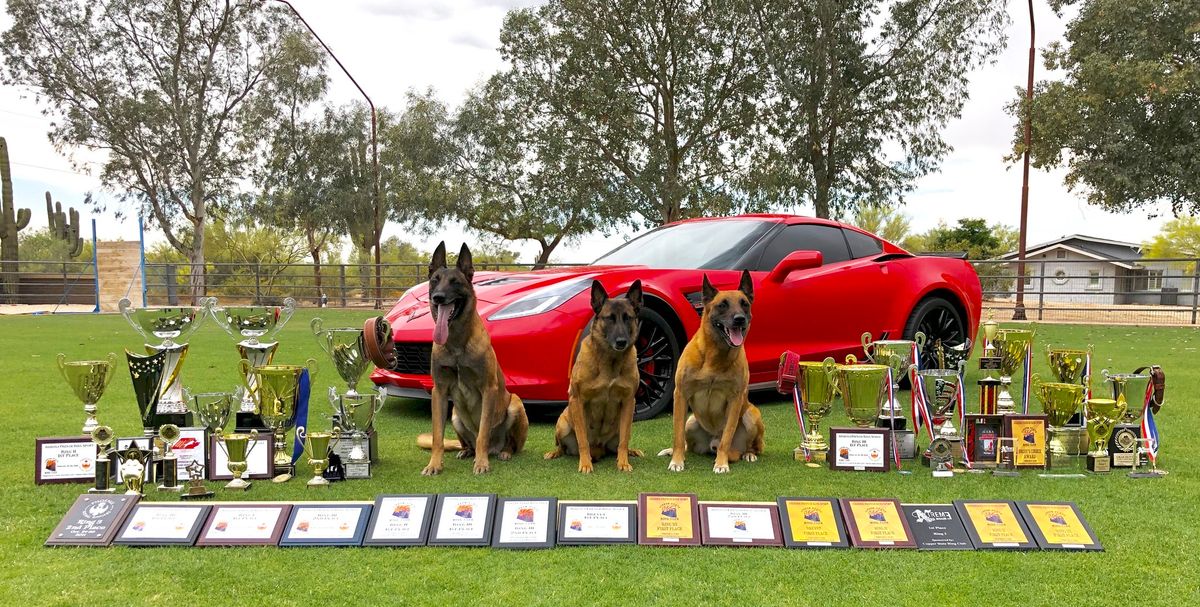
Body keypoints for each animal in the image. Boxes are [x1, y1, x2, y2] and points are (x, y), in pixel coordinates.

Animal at [422, 241, 525, 475]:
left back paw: (503, 452)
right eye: (435, 280)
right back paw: (466, 452)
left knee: (508, 443)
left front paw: (481, 463)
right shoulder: (439, 391)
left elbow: (483, 433)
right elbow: (437, 436)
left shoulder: (488, 389)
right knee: (466, 443)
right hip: (455, 417)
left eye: (456, 282)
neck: (457, 344)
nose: (438, 297)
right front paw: (434, 464)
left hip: (515, 404)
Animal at [547, 279, 643, 475]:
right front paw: (585, 464)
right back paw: (555, 453)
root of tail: (599, 447)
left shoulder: (629, 401)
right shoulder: (577, 400)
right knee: (562, 446)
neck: (610, 361)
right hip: (563, 425)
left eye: (628, 318)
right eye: (610, 318)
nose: (621, 342)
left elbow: (624, 440)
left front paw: (623, 462)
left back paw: (631, 451)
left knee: (621, 439)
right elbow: (583, 439)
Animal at [662, 269, 763, 475]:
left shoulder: (735, 399)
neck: (715, 356)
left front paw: (721, 463)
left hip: (751, 415)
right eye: (722, 305)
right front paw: (677, 461)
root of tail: (711, 442)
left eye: (744, 304)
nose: (739, 319)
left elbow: (727, 437)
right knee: (687, 444)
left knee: (752, 445)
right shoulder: (680, 395)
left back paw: (748, 454)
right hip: (691, 422)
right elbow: (677, 437)